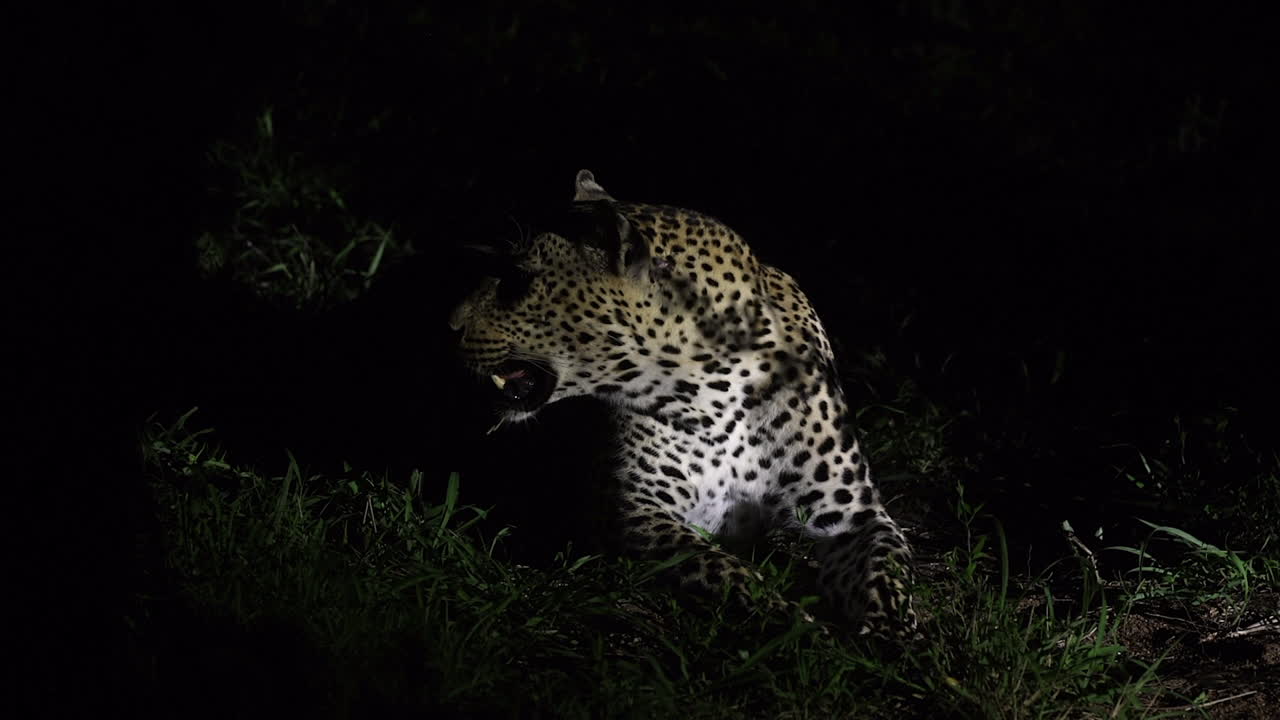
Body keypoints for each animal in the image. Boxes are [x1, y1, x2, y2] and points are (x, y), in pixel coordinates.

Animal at [450, 170, 917, 637]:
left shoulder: (852, 512)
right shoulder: (636, 510)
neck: (719, 390)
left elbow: (886, 565)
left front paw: (890, 629)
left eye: (518, 280)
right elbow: (718, 568)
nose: (448, 324)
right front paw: (790, 620)